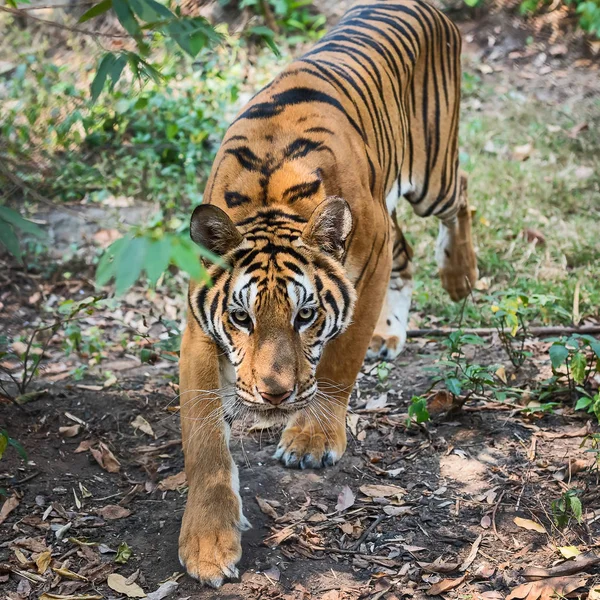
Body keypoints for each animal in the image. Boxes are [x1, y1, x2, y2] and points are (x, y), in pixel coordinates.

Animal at [177, 0, 478, 584]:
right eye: (242, 318)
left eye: (306, 315)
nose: (275, 395)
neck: (270, 198)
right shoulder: (200, 327)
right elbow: (203, 438)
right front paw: (207, 543)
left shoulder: (371, 253)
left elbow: (340, 361)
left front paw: (312, 440)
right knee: (411, 249)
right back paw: (391, 334)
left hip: (431, 175)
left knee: (463, 193)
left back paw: (460, 275)